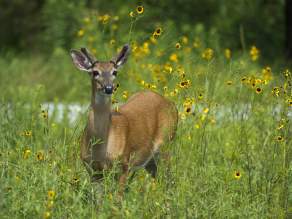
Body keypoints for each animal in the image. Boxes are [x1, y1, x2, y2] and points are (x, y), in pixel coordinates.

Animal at [70, 44, 178, 190]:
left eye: (114, 72)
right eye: (95, 72)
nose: (109, 88)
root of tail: (172, 104)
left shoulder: (124, 164)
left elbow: (118, 196)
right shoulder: (92, 169)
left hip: (167, 143)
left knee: (169, 179)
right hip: (149, 159)